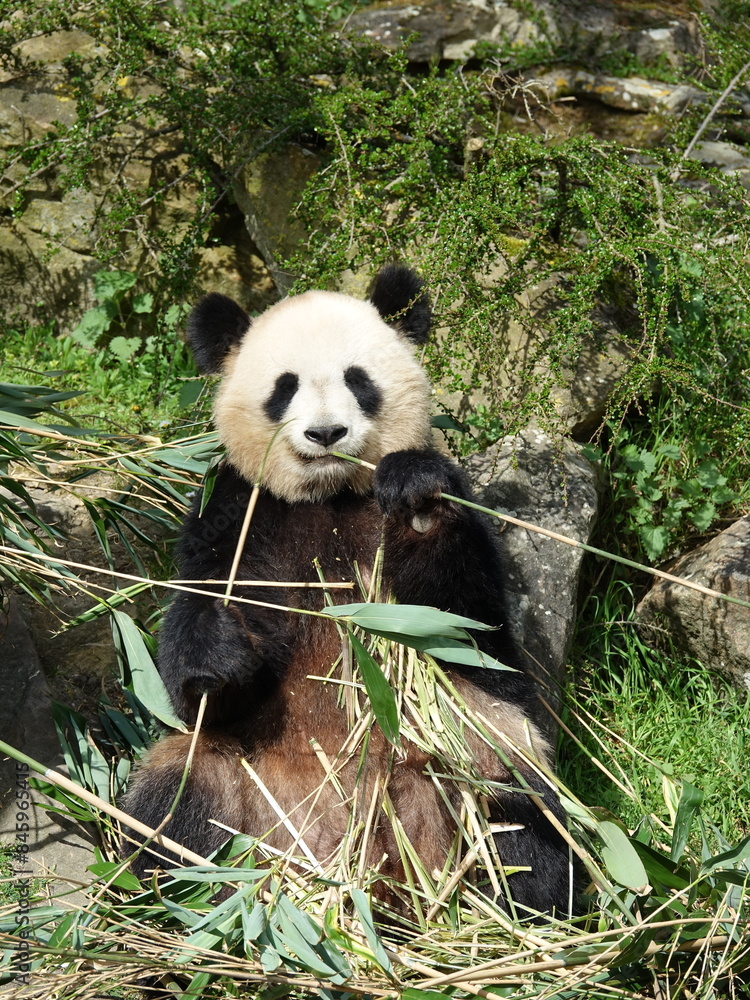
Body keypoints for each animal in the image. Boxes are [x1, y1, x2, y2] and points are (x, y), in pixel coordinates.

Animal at [122, 264, 572, 917]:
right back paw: (174, 905)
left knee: (522, 814)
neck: (330, 496)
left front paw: (414, 500)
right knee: (176, 800)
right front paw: (218, 649)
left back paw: (528, 904)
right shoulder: (238, 511)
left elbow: (469, 619)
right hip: (240, 791)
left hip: (469, 759)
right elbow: (198, 657)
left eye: (358, 381)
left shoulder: (446, 501)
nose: (326, 433)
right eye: (284, 388)